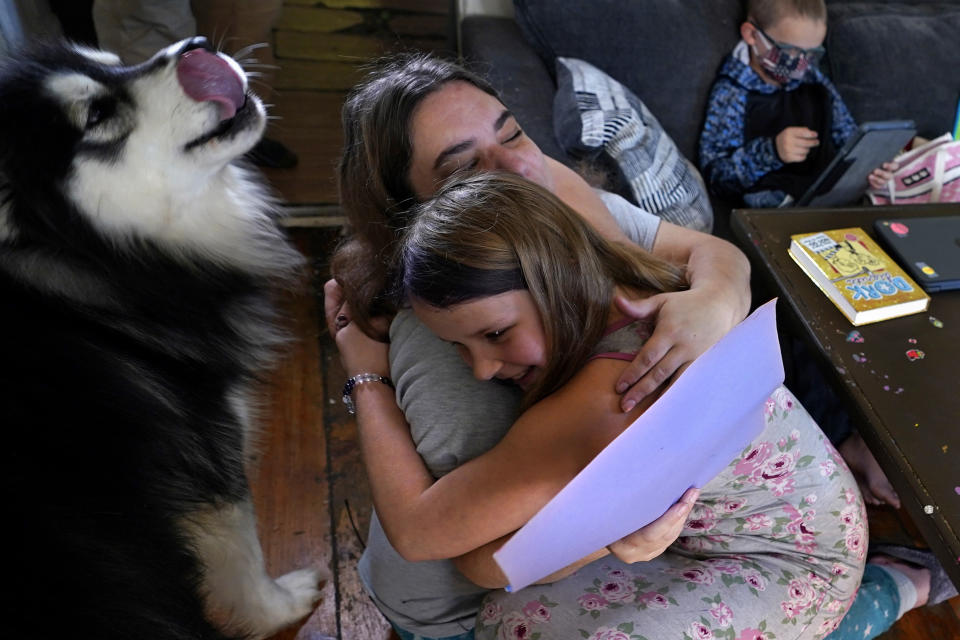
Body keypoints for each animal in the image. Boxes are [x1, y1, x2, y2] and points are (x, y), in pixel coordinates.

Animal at [0, 38, 324, 636]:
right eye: (97, 115)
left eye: (110, 58)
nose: (197, 46)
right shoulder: (213, 454)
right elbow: (243, 554)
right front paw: (280, 606)